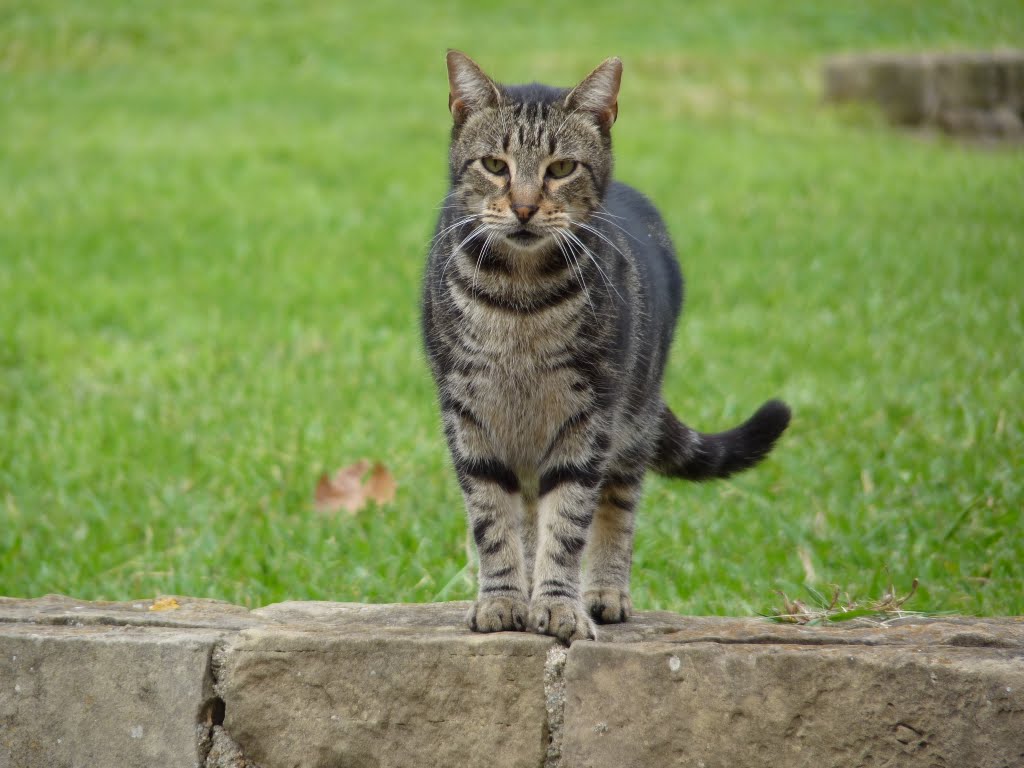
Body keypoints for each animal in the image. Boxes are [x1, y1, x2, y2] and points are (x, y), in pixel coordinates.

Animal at [421, 51, 790, 647]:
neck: (521, 300)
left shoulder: (589, 417)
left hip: (633, 419)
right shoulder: (468, 415)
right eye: (496, 165)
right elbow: (493, 522)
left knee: (616, 507)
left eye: (561, 169)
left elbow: (569, 523)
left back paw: (604, 593)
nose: (524, 207)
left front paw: (559, 605)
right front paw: (503, 600)